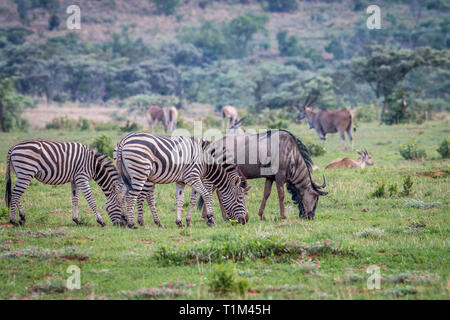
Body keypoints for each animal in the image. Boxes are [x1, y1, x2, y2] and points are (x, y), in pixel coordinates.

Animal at [115, 134, 250, 229]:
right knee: (133, 197)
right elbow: (207, 195)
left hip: (128, 175)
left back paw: (124, 220)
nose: (245, 220)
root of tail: (123, 141)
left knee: (121, 193)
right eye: (240, 198)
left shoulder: (183, 181)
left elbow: (184, 200)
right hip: (141, 172)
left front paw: (183, 222)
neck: (206, 162)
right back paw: (134, 223)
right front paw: (210, 219)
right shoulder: (194, 177)